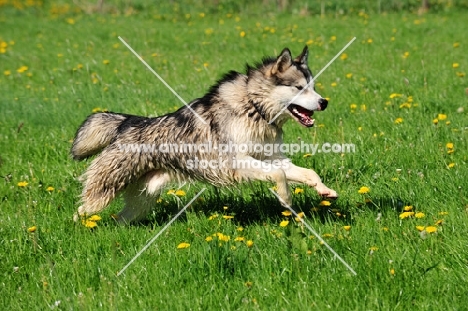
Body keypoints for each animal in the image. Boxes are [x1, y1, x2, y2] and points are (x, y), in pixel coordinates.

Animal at [71, 46, 336, 224]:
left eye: (313, 87)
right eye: (299, 88)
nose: (324, 102)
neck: (253, 107)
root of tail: (128, 123)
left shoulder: (271, 158)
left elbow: (305, 173)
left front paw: (324, 190)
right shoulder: (237, 163)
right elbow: (279, 175)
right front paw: (285, 198)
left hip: (142, 199)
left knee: (121, 219)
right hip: (103, 193)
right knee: (80, 212)